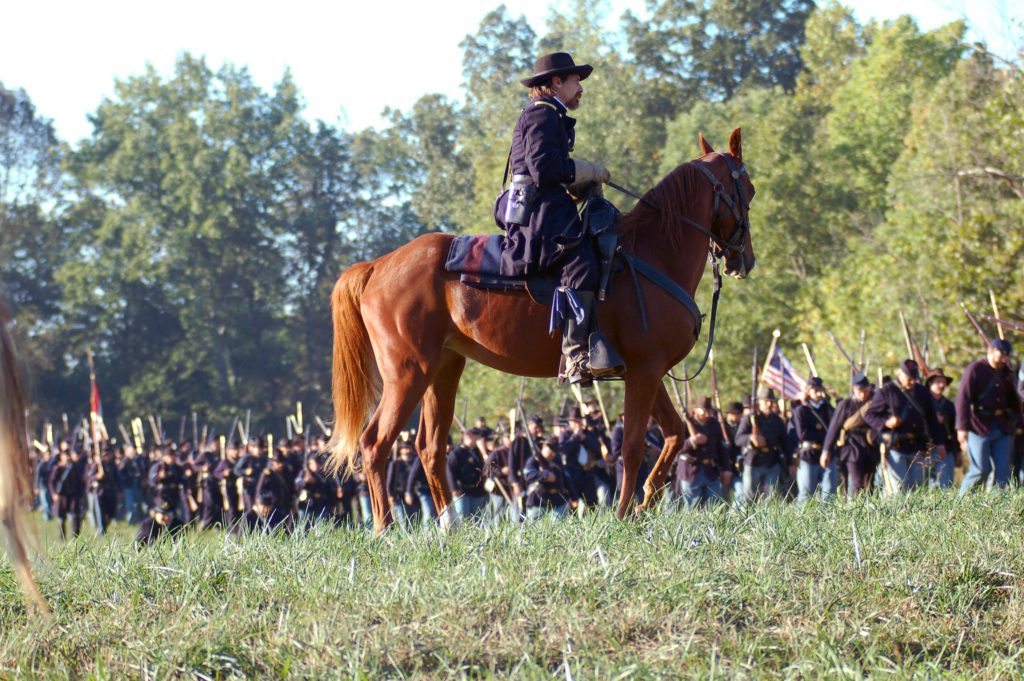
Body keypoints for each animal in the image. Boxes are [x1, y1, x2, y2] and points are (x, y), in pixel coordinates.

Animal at [331, 127, 757, 532]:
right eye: (749, 189)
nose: (745, 260)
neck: (655, 252)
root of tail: (377, 266)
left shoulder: (646, 372)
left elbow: (675, 433)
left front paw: (643, 505)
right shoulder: (645, 371)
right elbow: (634, 446)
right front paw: (623, 515)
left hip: (444, 370)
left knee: (430, 447)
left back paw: (449, 525)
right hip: (407, 373)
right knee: (375, 443)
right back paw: (385, 529)